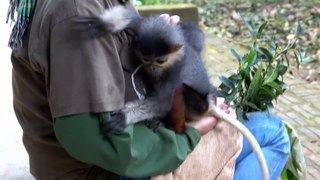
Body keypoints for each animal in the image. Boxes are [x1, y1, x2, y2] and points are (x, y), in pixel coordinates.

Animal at [75, 5, 214, 134]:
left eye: (160, 61)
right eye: (146, 59)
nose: (152, 67)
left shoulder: (175, 70)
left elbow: (162, 102)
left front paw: (125, 116)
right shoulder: (145, 28)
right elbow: (133, 19)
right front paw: (107, 23)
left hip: (199, 107)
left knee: (183, 89)